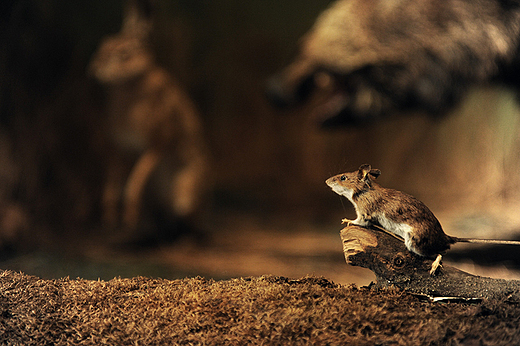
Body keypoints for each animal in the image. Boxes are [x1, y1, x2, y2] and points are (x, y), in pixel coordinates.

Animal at [88, 0, 206, 238]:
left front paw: (128, 217)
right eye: (105, 42)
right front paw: (110, 219)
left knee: (189, 219)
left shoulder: (157, 143)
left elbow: (135, 180)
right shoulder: (120, 150)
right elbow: (114, 184)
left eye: (124, 53)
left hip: (186, 193)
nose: (93, 68)